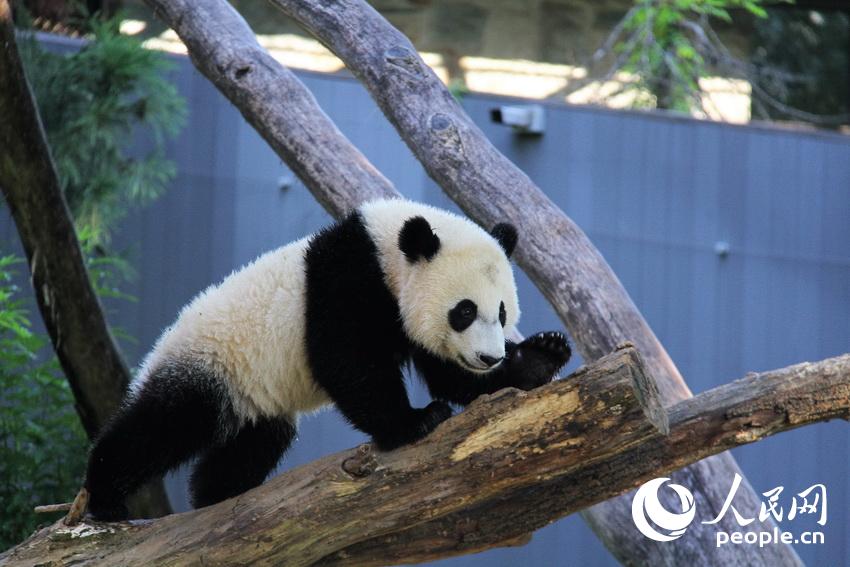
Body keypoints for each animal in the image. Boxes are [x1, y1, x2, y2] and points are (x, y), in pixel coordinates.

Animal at [84, 198, 571, 521]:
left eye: (503, 311)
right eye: (465, 311)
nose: (489, 356)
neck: (387, 250)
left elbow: (447, 374)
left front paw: (541, 357)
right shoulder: (344, 281)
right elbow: (347, 360)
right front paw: (414, 422)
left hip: (256, 403)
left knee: (250, 446)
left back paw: (218, 496)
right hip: (211, 364)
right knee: (159, 426)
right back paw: (105, 496)